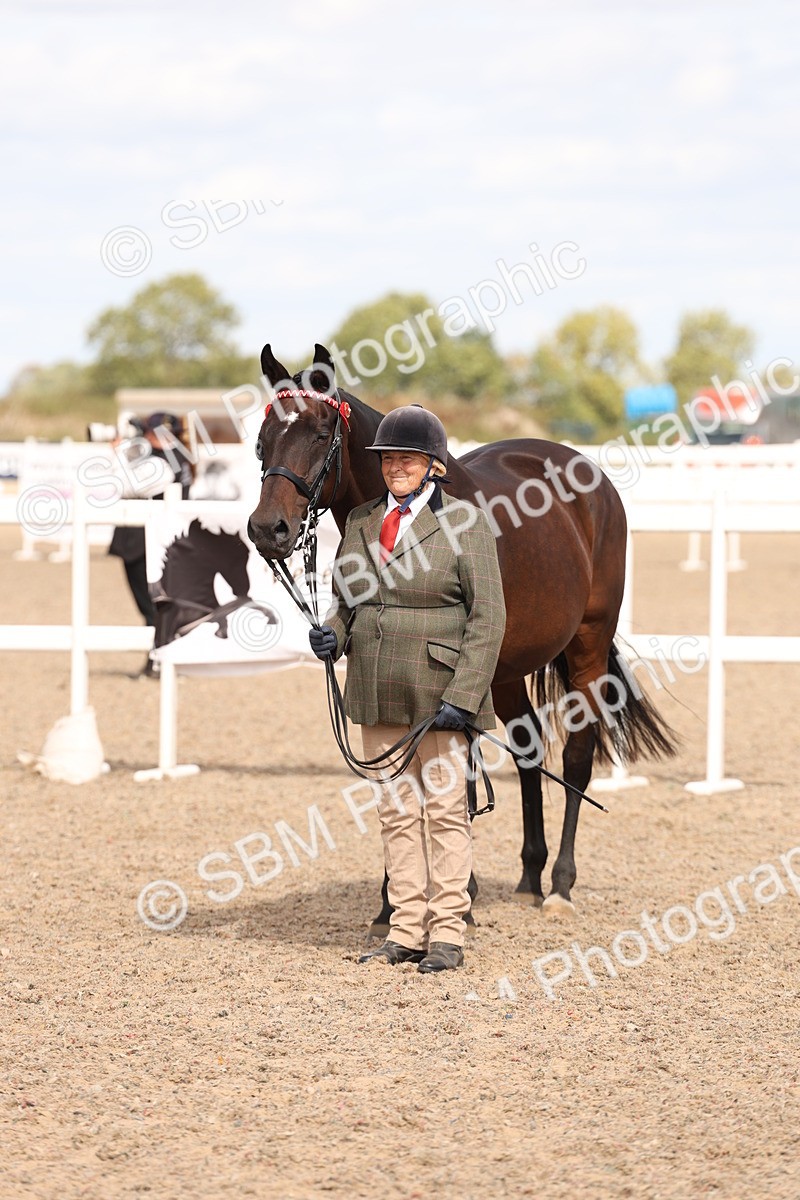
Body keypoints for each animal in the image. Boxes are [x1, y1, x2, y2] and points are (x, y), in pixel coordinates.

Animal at [247, 343, 676, 928]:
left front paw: (458, 898)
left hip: (584, 648)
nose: (267, 530)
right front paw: (393, 902)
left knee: (576, 758)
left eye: (318, 432)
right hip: (506, 670)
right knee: (528, 752)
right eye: (263, 436)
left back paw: (560, 886)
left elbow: (457, 773)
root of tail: (592, 478)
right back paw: (528, 877)